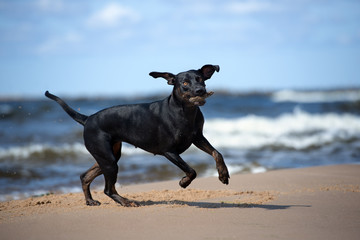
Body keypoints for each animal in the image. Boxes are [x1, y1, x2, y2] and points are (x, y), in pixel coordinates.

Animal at [45, 64, 229, 206]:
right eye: (184, 83)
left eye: (201, 79)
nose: (200, 90)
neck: (185, 111)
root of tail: (88, 118)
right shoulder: (169, 151)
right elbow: (191, 170)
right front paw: (184, 182)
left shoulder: (197, 137)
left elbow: (217, 153)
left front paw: (223, 174)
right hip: (108, 159)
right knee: (107, 189)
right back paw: (125, 202)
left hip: (109, 156)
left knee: (85, 176)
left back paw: (90, 201)